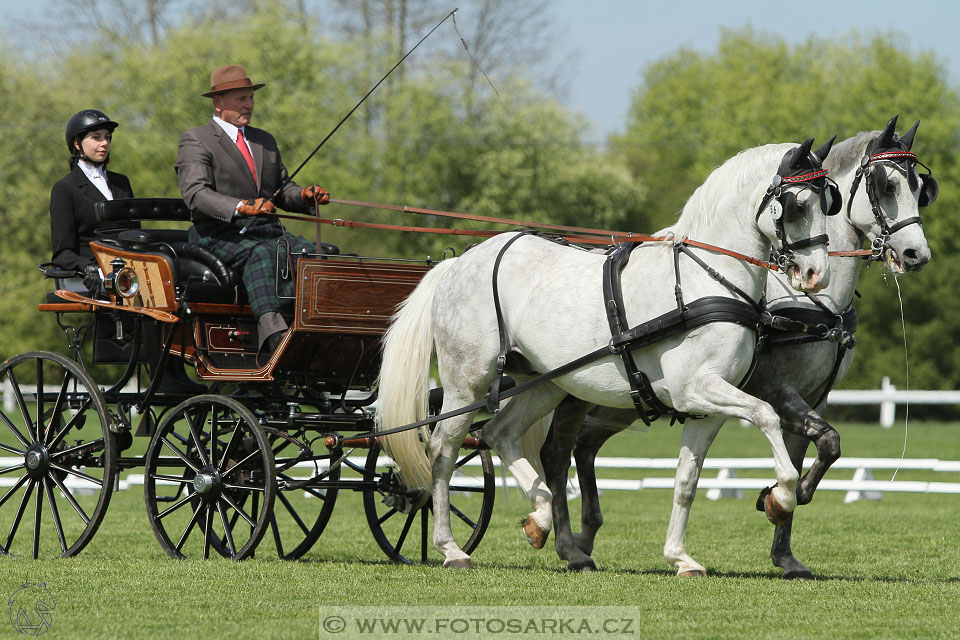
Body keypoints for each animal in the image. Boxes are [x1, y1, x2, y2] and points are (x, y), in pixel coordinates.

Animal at [378, 138, 836, 568]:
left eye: (828, 202)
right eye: (797, 205)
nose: (818, 275)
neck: (700, 278)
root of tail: (457, 265)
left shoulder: (706, 408)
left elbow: (687, 481)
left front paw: (680, 556)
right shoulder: (695, 388)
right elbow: (768, 415)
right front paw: (781, 497)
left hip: (545, 384)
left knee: (499, 434)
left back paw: (540, 518)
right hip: (467, 383)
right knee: (443, 451)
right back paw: (451, 548)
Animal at [540, 114, 928, 576]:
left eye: (920, 187)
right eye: (885, 185)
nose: (917, 254)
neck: (810, 304)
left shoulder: (815, 396)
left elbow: (817, 449)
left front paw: (786, 543)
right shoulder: (776, 390)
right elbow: (822, 441)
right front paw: (777, 499)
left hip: (617, 401)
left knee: (583, 447)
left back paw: (584, 534)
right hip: (578, 394)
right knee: (557, 453)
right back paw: (566, 543)